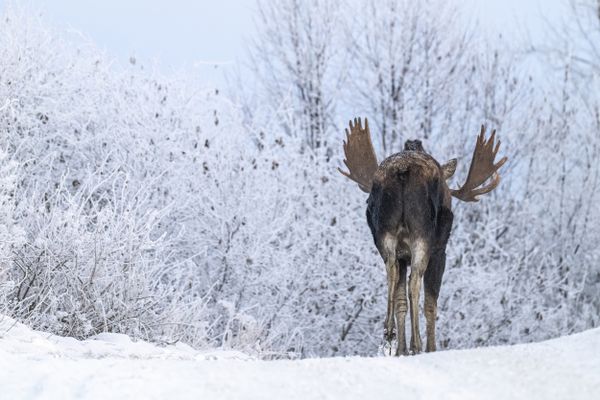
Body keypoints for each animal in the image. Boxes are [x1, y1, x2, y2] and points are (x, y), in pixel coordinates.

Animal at [338, 117, 506, 354]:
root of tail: (403, 170)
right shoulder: (440, 251)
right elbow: (431, 303)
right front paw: (429, 348)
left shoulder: (402, 254)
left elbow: (401, 300)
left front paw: (401, 350)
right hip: (423, 234)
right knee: (414, 282)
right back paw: (416, 343)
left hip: (384, 233)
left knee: (392, 272)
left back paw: (389, 334)